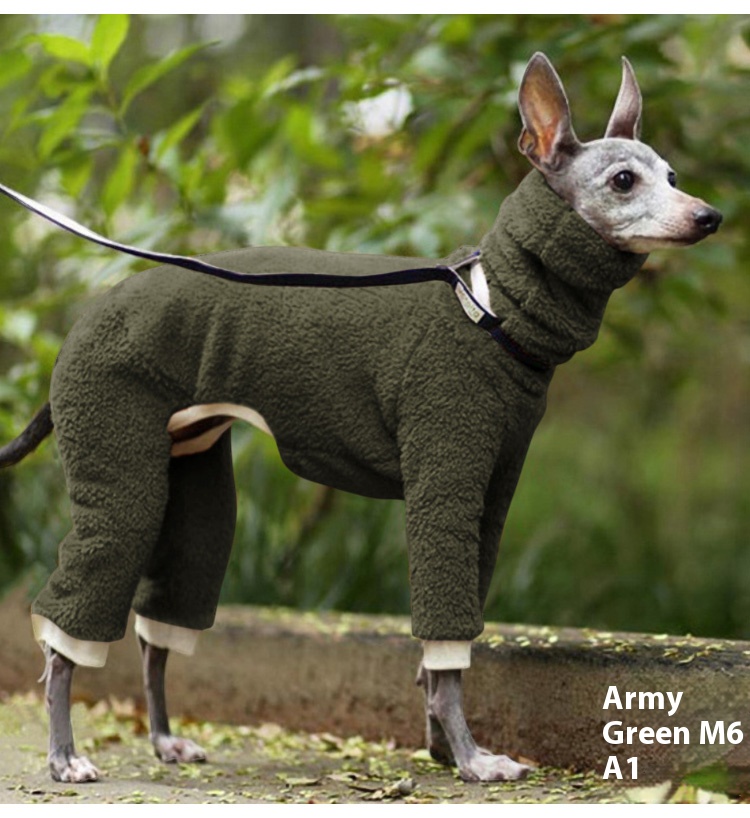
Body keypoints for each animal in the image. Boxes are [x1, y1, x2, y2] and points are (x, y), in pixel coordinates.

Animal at [0, 52, 721, 785]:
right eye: (624, 180)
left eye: (672, 176)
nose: (710, 215)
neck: (490, 309)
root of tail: (87, 316)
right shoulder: (444, 482)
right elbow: (446, 655)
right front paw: (471, 757)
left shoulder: (489, 501)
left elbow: (439, 657)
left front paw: (441, 749)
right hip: (123, 478)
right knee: (63, 635)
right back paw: (64, 755)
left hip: (195, 489)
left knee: (159, 630)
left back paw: (165, 740)